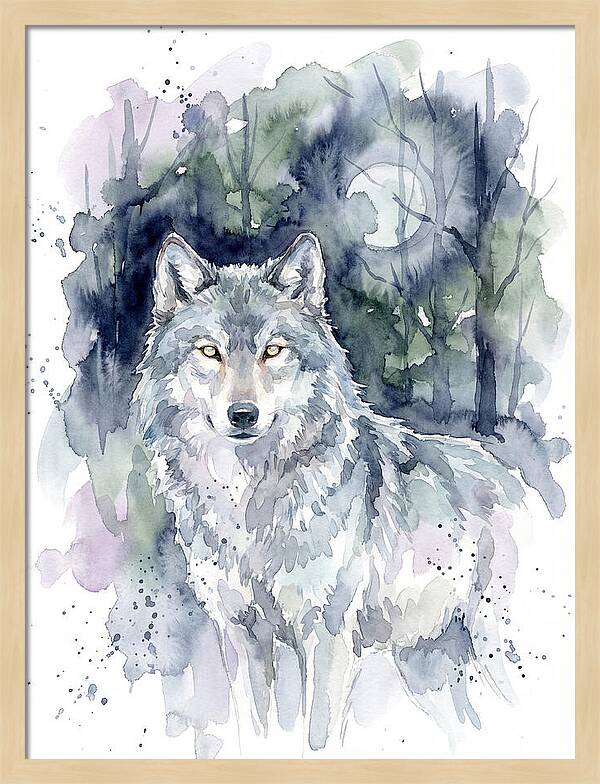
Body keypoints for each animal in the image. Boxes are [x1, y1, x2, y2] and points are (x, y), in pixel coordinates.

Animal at [134, 231, 524, 754]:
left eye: (273, 350)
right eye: (210, 352)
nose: (243, 415)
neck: (250, 504)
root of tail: (517, 477)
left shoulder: (327, 634)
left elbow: (316, 736)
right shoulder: (241, 636)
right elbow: (256, 733)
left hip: (496, 653)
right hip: (428, 672)